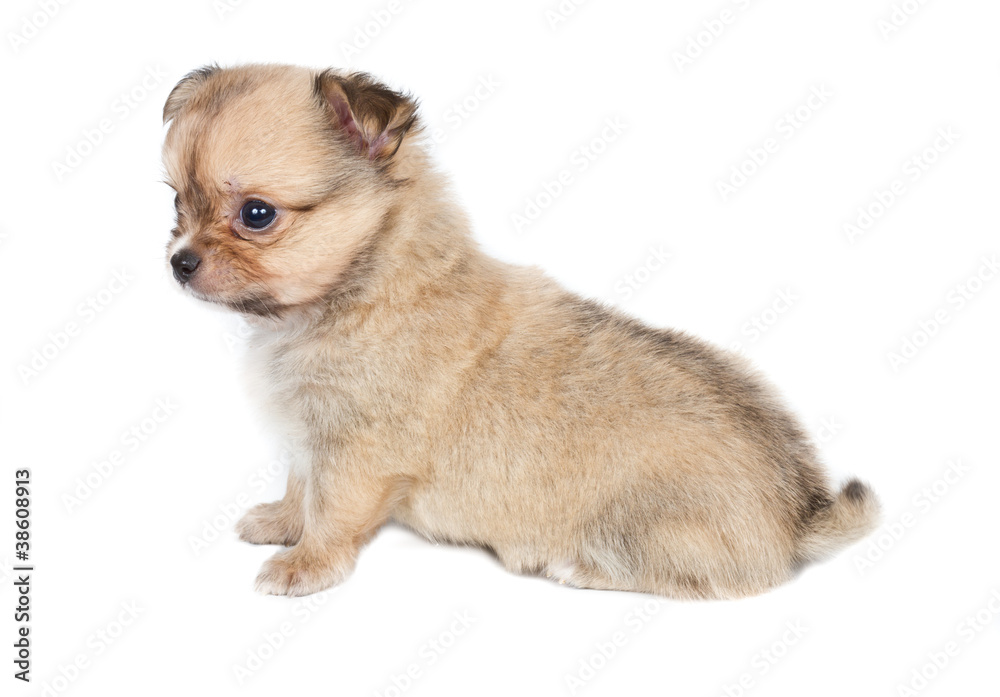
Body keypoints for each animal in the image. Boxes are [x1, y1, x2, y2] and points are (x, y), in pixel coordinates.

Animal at [164, 65, 884, 600]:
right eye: (175, 201)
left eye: (257, 215)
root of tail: (798, 514)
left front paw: (306, 562)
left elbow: (331, 509)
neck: (358, 289)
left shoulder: (357, 452)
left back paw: (577, 566)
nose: (179, 261)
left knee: (694, 577)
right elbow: (299, 485)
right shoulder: (309, 437)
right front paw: (281, 522)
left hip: (648, 525)